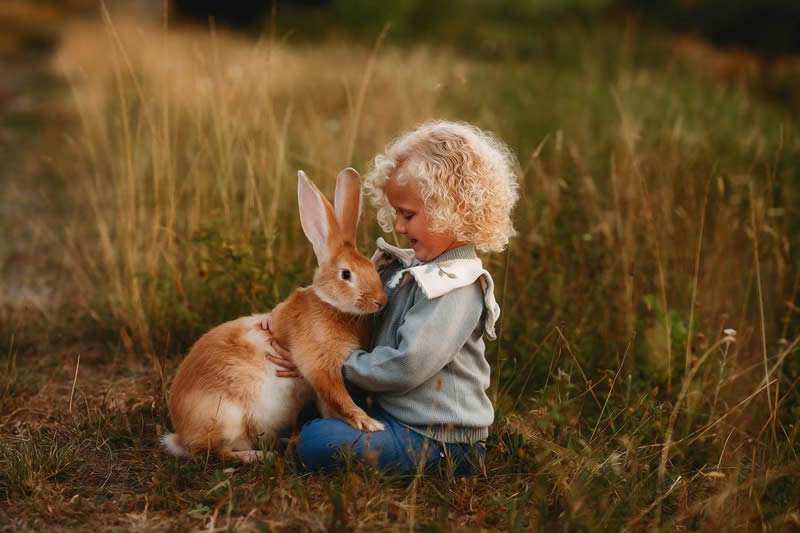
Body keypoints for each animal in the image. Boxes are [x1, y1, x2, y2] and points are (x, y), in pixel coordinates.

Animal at [160, 167, 388, 462]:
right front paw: (369, 423)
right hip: (225, 418)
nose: (381, 302)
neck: (330, 305)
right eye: (346, 274)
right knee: (214, 451)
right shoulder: (319, 366)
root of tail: (181, 436)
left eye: (373, 267)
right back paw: (258, 456)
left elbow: (329, 406)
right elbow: (339, 396)